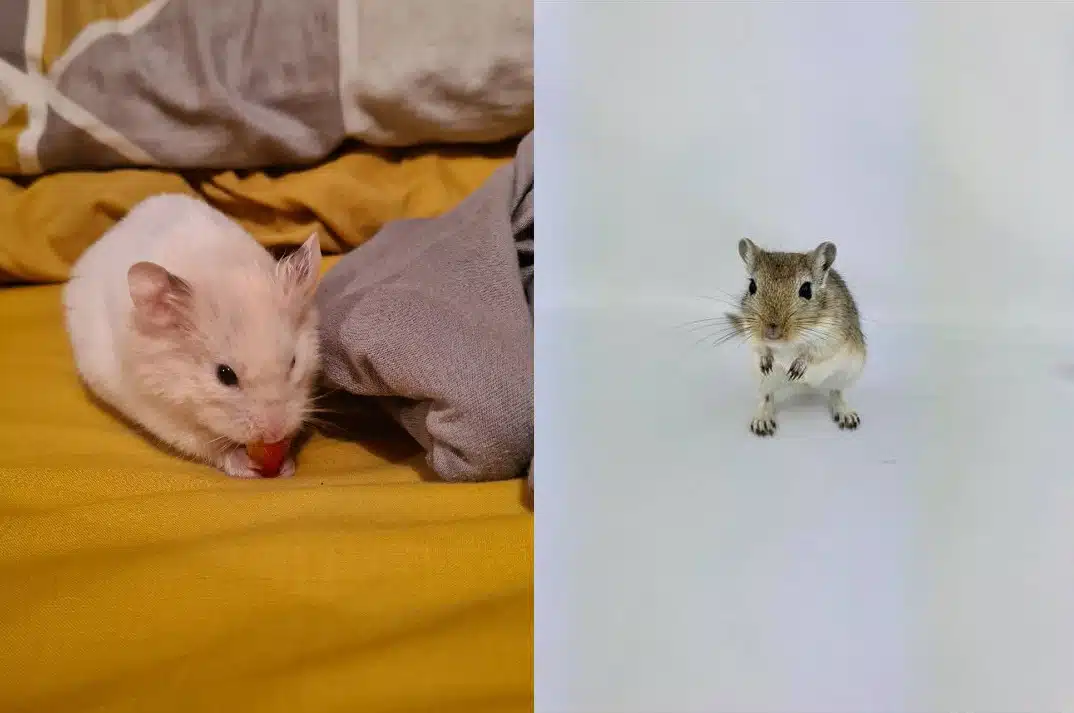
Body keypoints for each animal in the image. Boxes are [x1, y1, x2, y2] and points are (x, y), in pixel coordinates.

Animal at [63, 194, 322, 478]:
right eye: (224, 375)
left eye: (294, 362)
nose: (274, 434)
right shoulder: (165, 415)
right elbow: (210, 446)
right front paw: (246, 465)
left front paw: (287, 464)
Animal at [726, 238, 866, 437]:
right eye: (752, 286)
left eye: (806, 290)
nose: (771, 331)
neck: (787, 343)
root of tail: (806, 386)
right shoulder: (750, 330)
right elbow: (760, 347)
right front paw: (766, 361)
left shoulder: (832, 335)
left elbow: (813, 352)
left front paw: (797, 367)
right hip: (765, 381)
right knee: (766, 397)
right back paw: (762, 421)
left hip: (846, 374)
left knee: (836, 392)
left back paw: (846, 415)